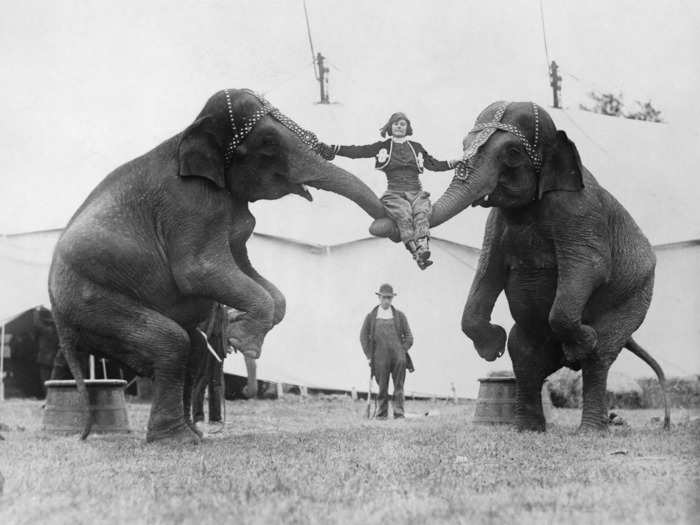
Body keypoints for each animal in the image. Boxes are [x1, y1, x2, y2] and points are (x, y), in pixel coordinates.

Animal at [50, 87, 386, 442]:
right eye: (268, 141)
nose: (384, 223)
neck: (191, 129)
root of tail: (56, 312)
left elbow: (245, 270)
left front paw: (240, 327)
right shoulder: (190, 205)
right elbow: (199, 271)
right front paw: (243, 341)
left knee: (193, 349)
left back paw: (192, 434)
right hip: (92, 297)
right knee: (171, 343)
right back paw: (177, 441)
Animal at [370, 100, 668, 432]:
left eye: (512, 153)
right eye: (464, 144)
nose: (422, 255)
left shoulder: (579, 211)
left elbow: (589, 267)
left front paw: (583, 342)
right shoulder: (496, 223)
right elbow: (487, 271)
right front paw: (493, 345)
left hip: (635, 300)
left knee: (600, 356)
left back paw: (589, 423)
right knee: (524, 356)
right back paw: (529, 426)